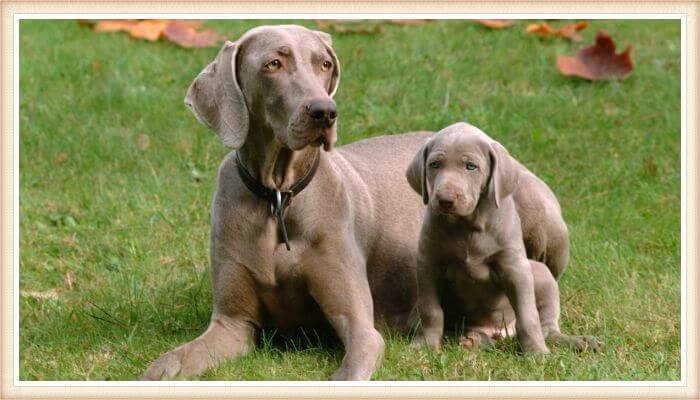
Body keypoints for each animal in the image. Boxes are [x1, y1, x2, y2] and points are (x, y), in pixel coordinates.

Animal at [141, 25, 576, 382]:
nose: (324, 111)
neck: (280, 196)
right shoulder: (232, 324)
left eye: (324, 63)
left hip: (544, 218)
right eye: (273, 63)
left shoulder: (361, 327)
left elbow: (352, 366)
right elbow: (172, 361)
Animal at [408, 122, 600, 354]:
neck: (468, 225)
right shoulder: (428, 265)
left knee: (547, 327)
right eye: (434, 164)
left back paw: (577, 341)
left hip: (542, 274)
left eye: (471, 166)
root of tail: (502, 333)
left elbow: (528, 316)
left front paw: (536, 353)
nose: (445, 200)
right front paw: (425, 345)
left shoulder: (514, 267)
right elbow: (431, 311)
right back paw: (474, 340)